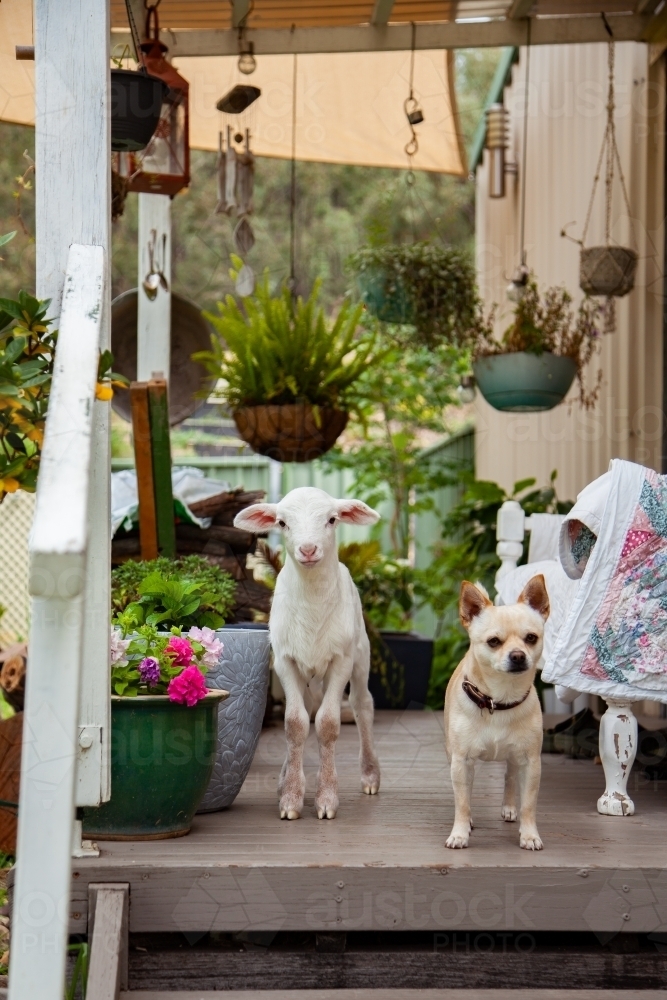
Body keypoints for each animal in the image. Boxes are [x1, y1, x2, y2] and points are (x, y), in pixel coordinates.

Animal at [235, 486, 380, 820]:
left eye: (332, 519)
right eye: (282, 523)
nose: (309, 549)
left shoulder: (341, 660)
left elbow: (327, 724)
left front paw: (326, 799)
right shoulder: (284, 660)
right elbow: (295, 723)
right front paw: (291, 797)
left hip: (360, 653)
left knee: (362, 704)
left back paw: (370, 775)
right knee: (308, 707)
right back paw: (286, 776)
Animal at [446, 576, 552, 848]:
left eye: (531, 638)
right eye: (494, 641)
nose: (518, 655)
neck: (499, 700)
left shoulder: (531, 763)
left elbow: (529, 805)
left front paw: (530, 835)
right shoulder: (461, 762)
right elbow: (462, 802)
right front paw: (460, 832)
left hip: (515, 757)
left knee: (510, 776)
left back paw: (509, 807)